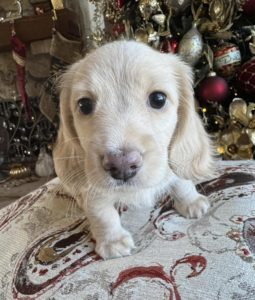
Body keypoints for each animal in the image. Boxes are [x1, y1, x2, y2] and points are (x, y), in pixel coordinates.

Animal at [53, 41, 215, 258]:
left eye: (158, 99)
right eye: (84, 104)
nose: (121, 165)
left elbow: (180, 180)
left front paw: (191, 201)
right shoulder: (92, 188)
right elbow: (101, 211)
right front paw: (113, 241)